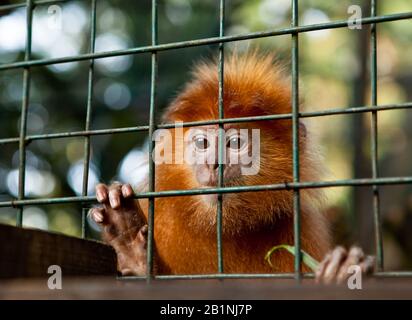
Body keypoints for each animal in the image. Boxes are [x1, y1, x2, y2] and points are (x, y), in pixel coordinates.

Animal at [88, 51, 374, 284]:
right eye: (202, 143)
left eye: (235, 143)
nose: (214, 163)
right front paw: (131, 247)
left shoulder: (301, 227)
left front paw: (341, 276)